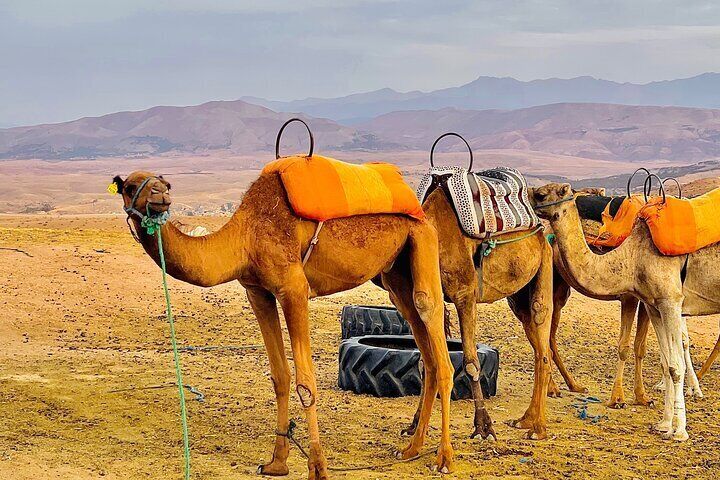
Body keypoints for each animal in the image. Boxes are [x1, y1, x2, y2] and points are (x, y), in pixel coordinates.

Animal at [112, 170, 456, 478]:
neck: (244, 236)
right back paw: (411, 449)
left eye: (165, 184)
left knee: (431, 321)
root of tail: (416, 206)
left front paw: (317, 467)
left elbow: (306, 381)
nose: (160, 196)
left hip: (423, 240)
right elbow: (280, 375)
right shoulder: (257, 291)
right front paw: (276, 463)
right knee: (423, 349)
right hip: (396, 272)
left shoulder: (293, 289)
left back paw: (443, 459)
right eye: (128, 187)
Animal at [532, 182, 720, 441]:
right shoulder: (653, 305)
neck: (632, 255)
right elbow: (667, 363)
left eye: (542, 194)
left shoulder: (669, 301)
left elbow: (674, 364)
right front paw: (664, 424)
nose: (527, 197)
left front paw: (679, 430)